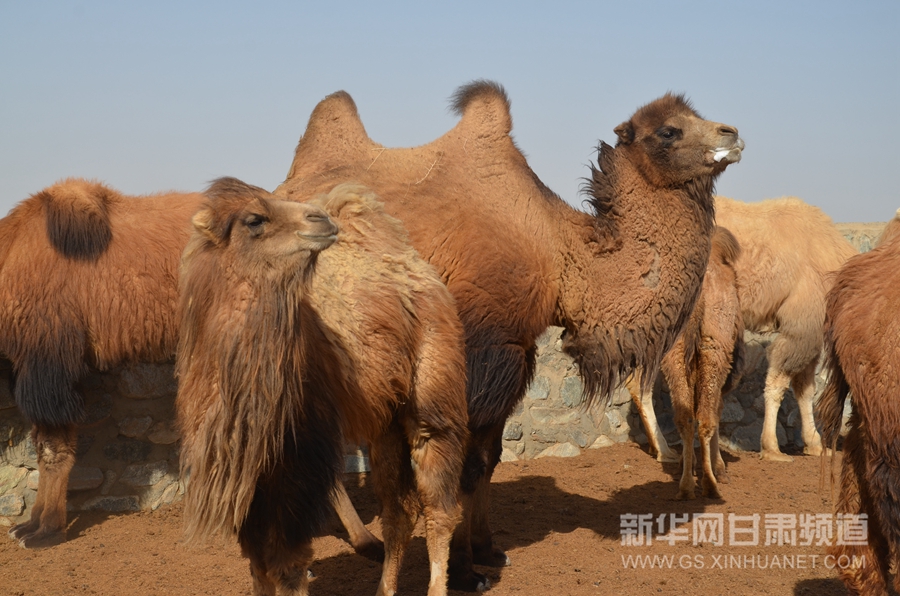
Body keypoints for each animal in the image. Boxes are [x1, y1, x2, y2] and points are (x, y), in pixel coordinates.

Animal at [178, 178, 472, 596]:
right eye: (255, 219)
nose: (320, 220)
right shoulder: (249, 477)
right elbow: (258, 565)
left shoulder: (298, 461)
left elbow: (287, 564)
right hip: (384, 420)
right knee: (400, 510)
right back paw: (384, 589)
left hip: (433, 388)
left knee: (439, 503)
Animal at [276, 80, 744, 592]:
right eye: (668, 130)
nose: (732, 133)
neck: (558, 252)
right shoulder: (479, 354)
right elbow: (467, 467)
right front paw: (464, 571)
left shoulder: (517, 353)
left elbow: (491, 455)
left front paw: (488, 549)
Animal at [712, 196, 856, 460]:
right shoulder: (801, 327)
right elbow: (778, 383)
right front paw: (771, 448)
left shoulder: (809, 331)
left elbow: (805, 389)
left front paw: (814, 444)